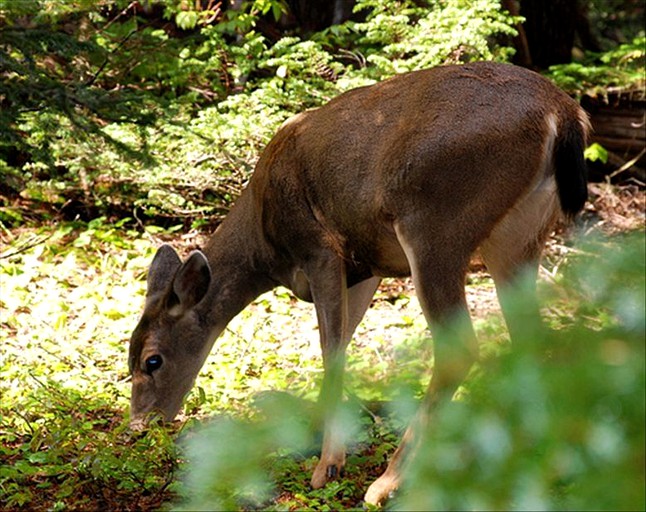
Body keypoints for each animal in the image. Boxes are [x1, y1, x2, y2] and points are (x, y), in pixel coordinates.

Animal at [129, 62, 588, 506]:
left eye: (153, 360)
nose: (140, 424)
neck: (263, 245)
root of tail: (562, 112)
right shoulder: (367, 268)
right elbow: (343, 341)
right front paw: (312, 438)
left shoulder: (320, 248)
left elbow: (331, 349)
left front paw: (328, 464)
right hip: (519, 235)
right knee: (531, 337)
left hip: (436, 224)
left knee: (460, 348)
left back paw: (389, 481)